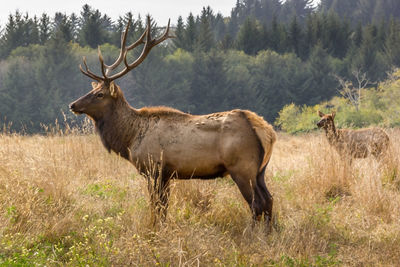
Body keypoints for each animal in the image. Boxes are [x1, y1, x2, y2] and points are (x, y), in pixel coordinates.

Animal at [69, 16, 276, 225]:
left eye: (100, 94)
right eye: (93, 90)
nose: (73, 105)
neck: (130, 138)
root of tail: (267, 132)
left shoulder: (154, 169)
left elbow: (157, 206)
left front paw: (154, 228)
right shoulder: (167, 175)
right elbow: (163, 207)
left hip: (242, 167)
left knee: (256, 203)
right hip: (260, 170)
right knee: (269, 199)